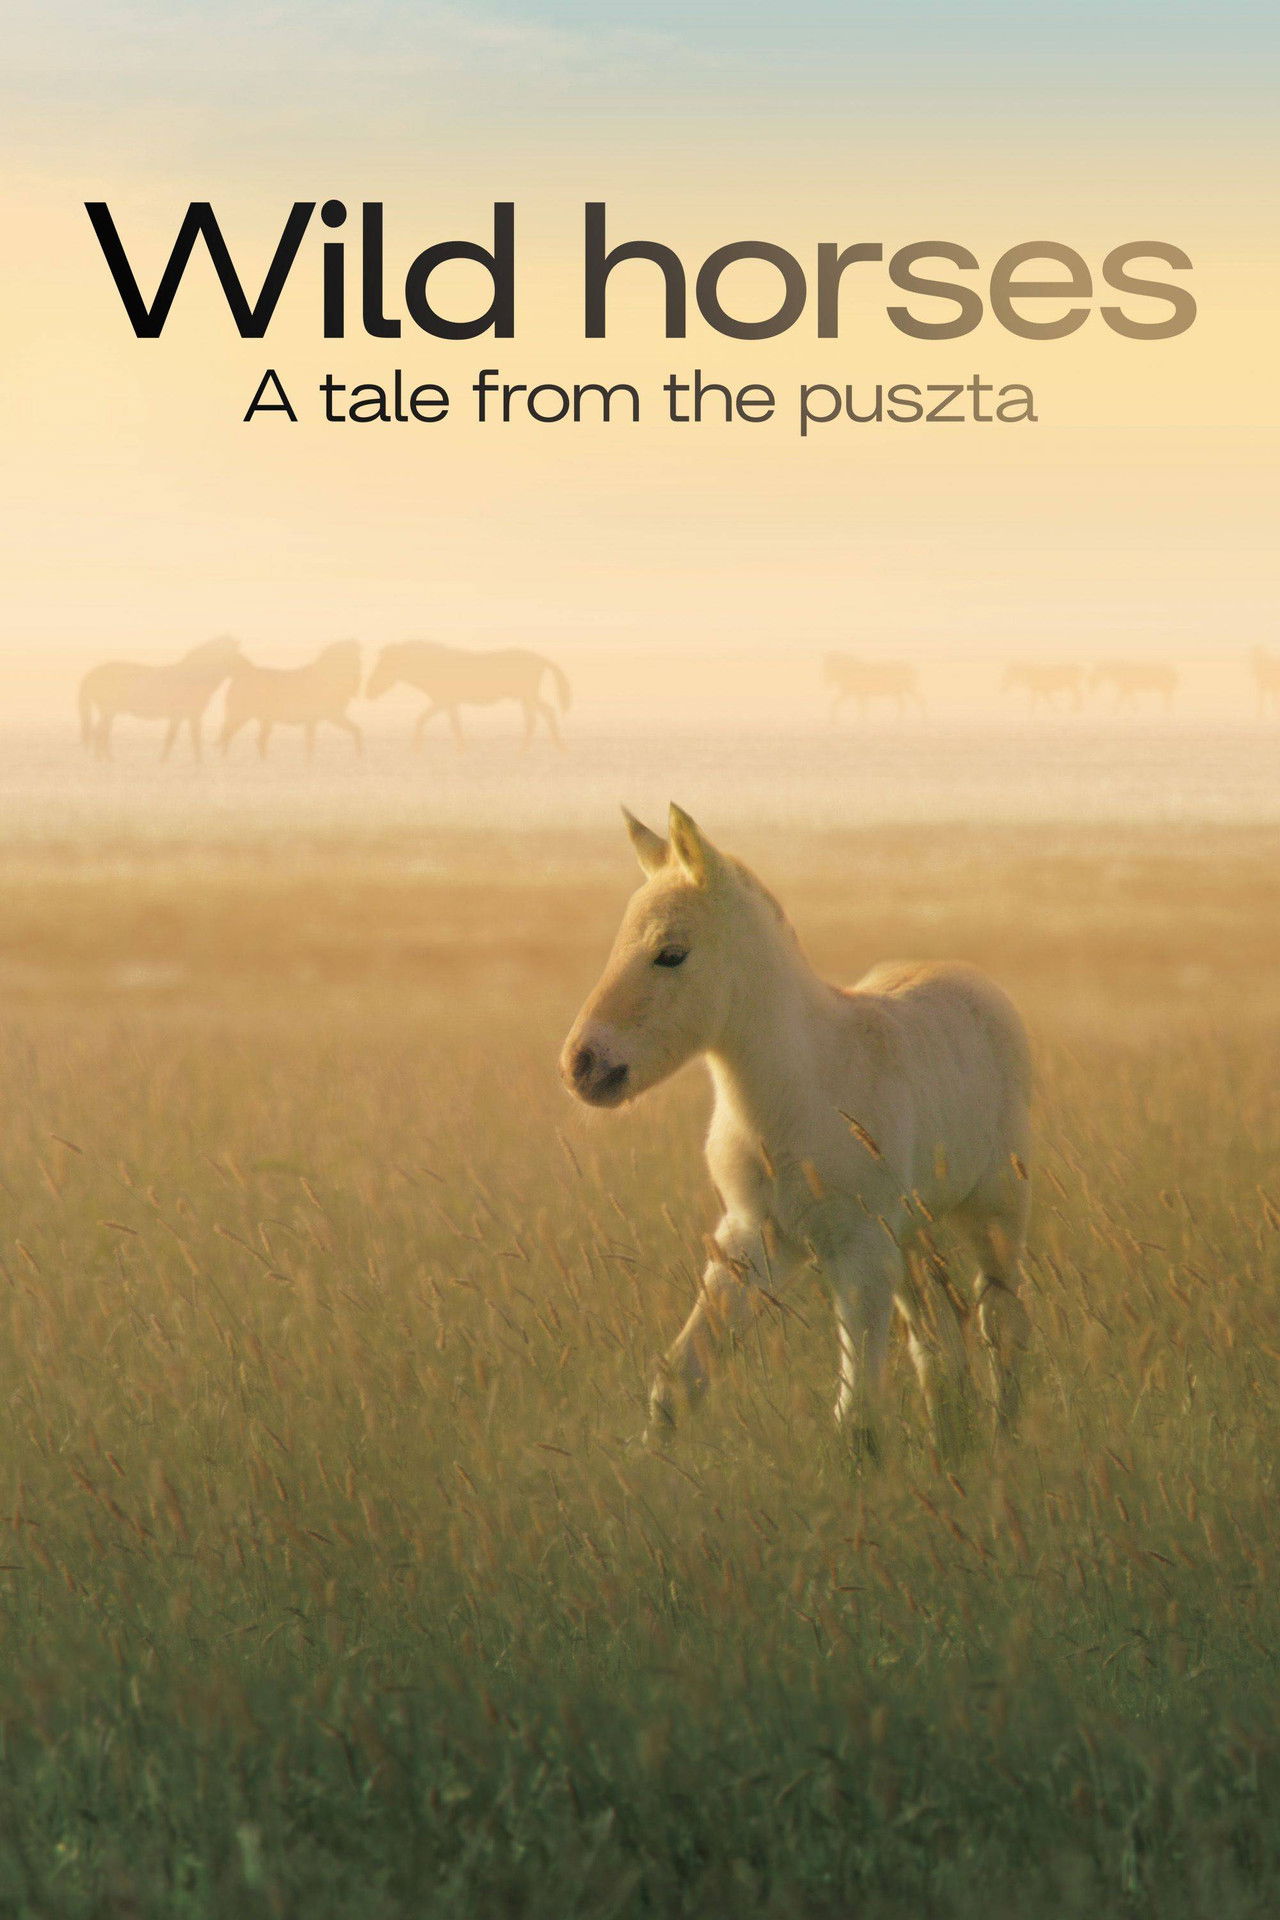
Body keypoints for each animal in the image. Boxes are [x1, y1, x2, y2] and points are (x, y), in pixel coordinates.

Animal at [78, 636, 241, 763]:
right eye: (234, 653)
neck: (194, 677)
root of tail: (91, 674)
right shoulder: (188, 715)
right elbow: (182, 738)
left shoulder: (184, 716)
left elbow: (181, 738)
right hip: (108, 710)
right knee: (99, 732)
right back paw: (105, 760)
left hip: (109, 712)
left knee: (100, 732)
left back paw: (105, 760)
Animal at [219, 641, 363, 760]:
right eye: (352, 659)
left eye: (358, 660)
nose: (356, 683)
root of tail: (242, 672)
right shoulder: (328, 716)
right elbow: (311, 742)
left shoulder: (325, 717)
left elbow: (355, 730)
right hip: (240, 715)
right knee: (226, 736)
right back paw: (226, 762)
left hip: (264, 720)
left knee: (258, 741)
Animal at [365, 641, 572, 749]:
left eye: (384, 667)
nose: (368, 692)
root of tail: (541, 659)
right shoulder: (449, 703)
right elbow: (453, 724)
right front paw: (461, 749)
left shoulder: (443, 701)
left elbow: (424, 720)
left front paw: (417, 748)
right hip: (527, 696)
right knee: (546, 713)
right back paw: (556, 748)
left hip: (527, 695)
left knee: (534, 718)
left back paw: (525, 751)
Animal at [560, 805, 1033, 1459]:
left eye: (671, 953)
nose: (582, 1065)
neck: (798, 1092)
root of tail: (973, 980)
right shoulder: (752, 1238)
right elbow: (680, 1377)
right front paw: (645, 1464)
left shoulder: (858, 1249)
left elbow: (857, 1413)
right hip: (912, 1233)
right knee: (937, 1331)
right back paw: (951, 1440)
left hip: (993, 1210)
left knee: (1002, 1318)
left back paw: (1002, 1442)